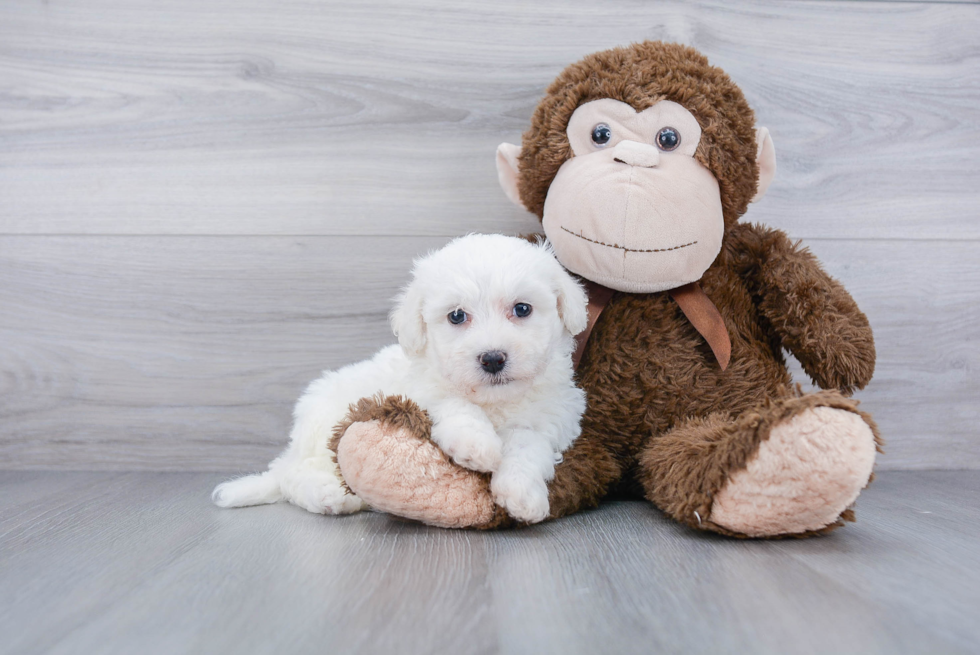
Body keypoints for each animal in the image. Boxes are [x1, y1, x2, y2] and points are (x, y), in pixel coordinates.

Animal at [214, 233, 584, 524]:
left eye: (522, 309)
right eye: (457, 316)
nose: (492, 358)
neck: (493, 402)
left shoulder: (552, 418)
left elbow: (527, 445)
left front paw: (523, 495)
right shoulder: (419, 391)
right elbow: (453, 403)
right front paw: (475, 444)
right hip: (323, 427)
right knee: (294, 475)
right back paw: (329, 495)